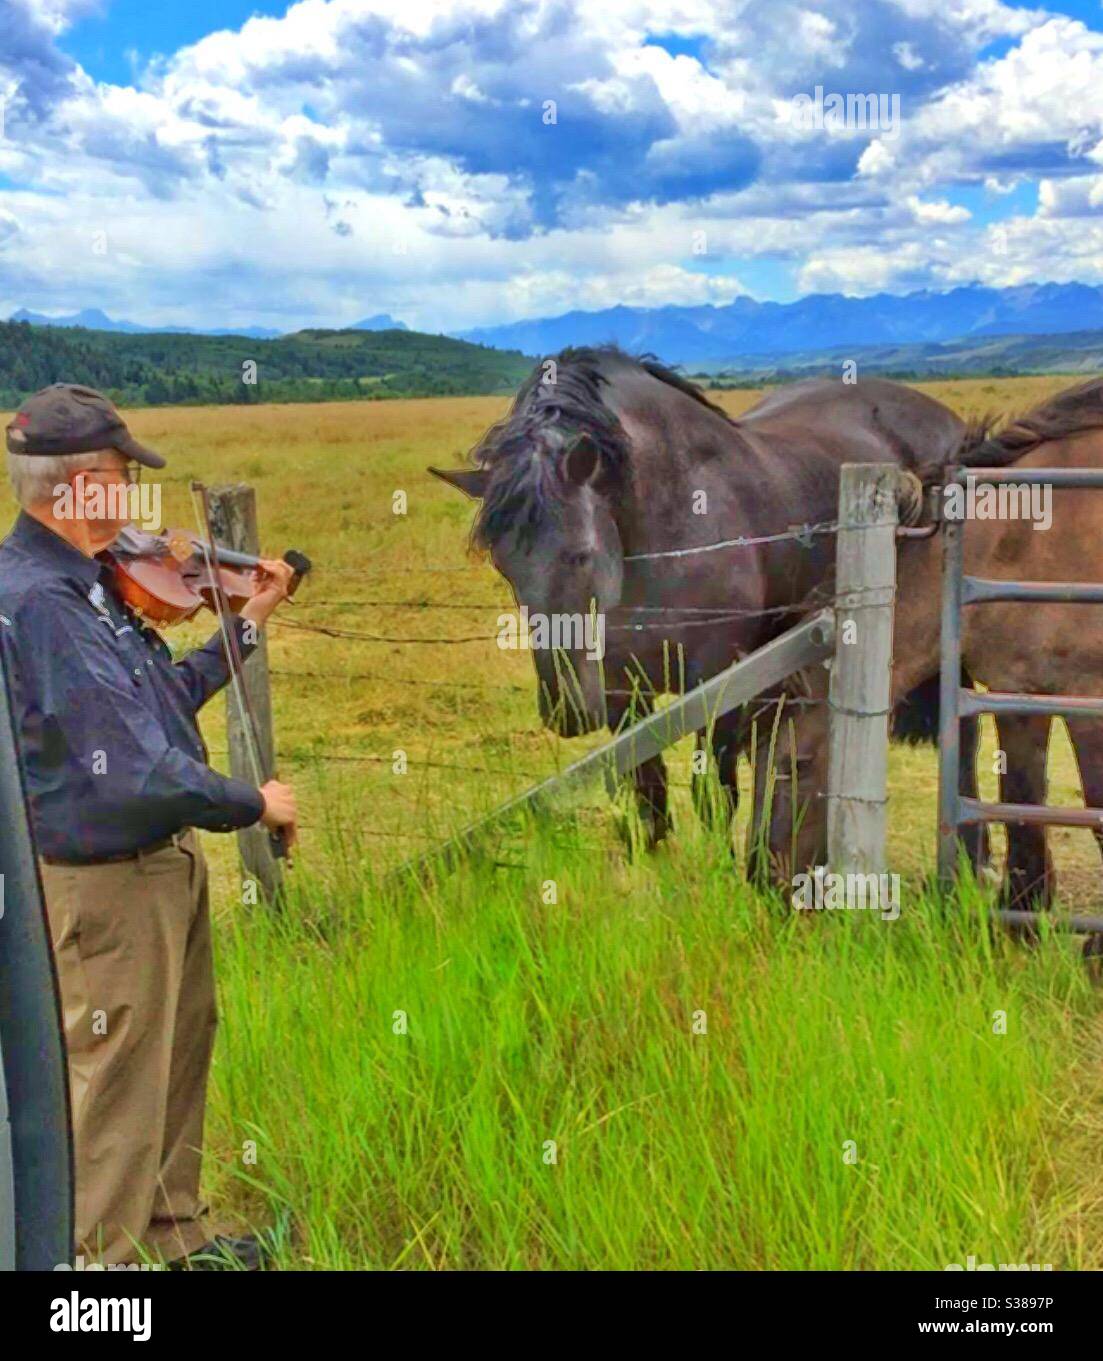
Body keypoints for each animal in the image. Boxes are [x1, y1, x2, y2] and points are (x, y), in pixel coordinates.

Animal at [429, 345, 991, 866]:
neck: (668, 524)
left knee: (963, 736)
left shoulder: (719, 683)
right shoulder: (621, 691)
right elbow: (648, 789)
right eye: (504, 565)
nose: (567, 710)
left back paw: (975, 856)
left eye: (580, 553)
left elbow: (713, 793)